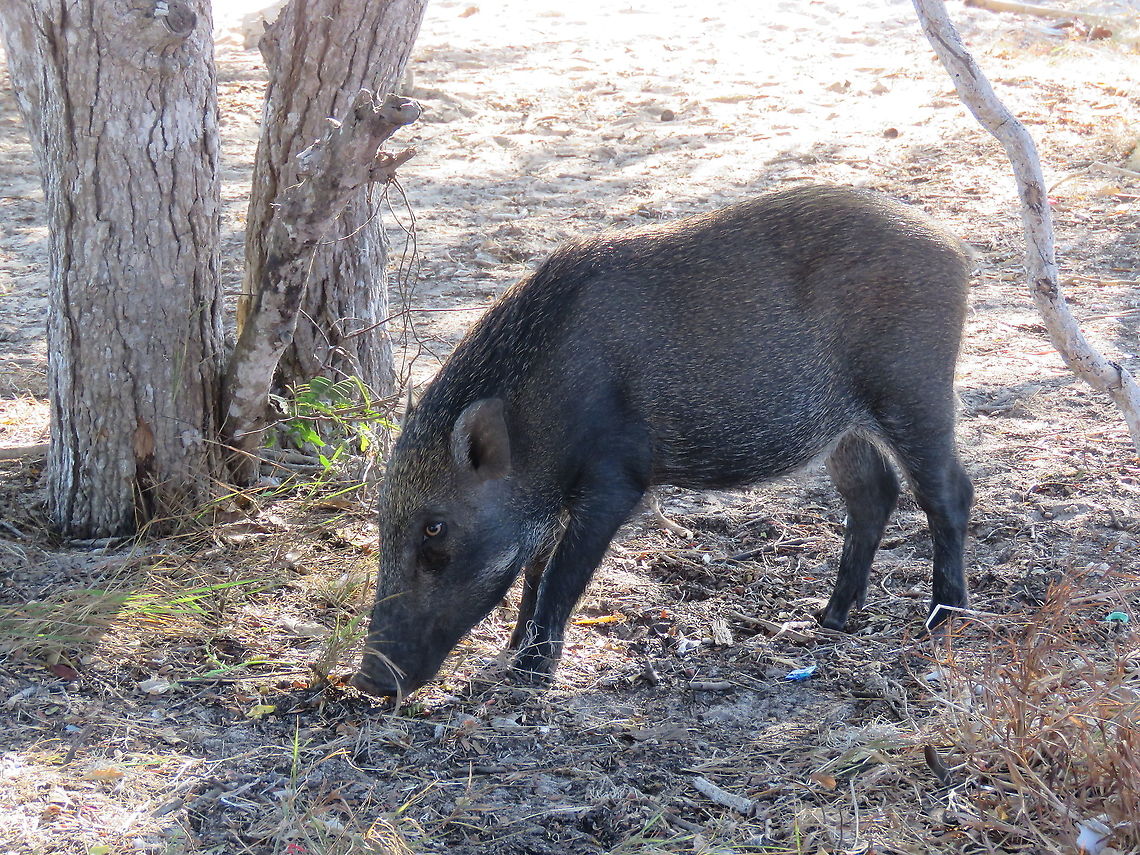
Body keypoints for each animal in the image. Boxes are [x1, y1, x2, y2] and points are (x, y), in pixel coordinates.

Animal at [351, 184, 974, 698]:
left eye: (435, 528)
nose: (370, 681)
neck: (541, 408)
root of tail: (954, 247)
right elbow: (534, 567)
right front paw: (512, 654)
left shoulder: (616, 479)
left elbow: (562, 573)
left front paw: (531, 672)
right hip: (843, 429)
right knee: (875, 494)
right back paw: (830, 619)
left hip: (914, 391)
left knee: (949, 493)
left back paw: (945, 619)